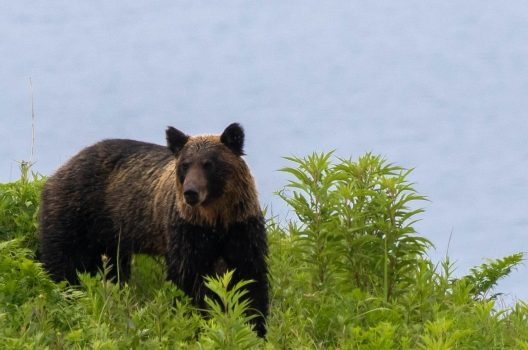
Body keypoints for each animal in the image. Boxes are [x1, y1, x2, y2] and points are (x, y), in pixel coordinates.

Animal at [38, 123, 268, 336]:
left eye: (208, 164)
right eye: (185, 165)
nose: (190, 192)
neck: (214, 220)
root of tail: (62, 167)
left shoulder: (241, 229)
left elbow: (250, 278)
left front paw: (255, 325)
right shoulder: (187, 232)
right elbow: (187, 280)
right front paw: (196, 320)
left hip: (109, 237)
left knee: (112, 271)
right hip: (76, 214)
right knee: (63, 262)